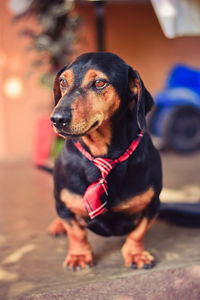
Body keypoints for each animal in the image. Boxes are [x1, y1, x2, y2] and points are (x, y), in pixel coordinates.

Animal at [48, 52, 162, 270]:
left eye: (99, 83)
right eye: (63, 81)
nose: (57, 119)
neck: (104, 156)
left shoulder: (152, 204)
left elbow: (138, 232)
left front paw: (136, 254)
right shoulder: (64, 204)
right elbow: (76, 232)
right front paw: (79, 256)